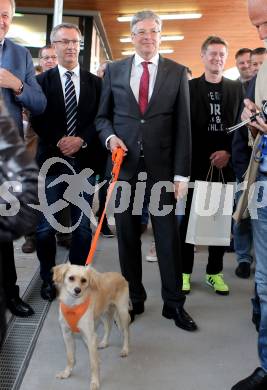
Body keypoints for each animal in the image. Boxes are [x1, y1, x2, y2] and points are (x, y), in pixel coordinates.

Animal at [52, 262, 131, 390]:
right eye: (71, 278)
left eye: (84, 280)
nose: (77, 290)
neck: (73, 306)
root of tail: (120, 275)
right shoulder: (67, 335)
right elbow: (70, 357)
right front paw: (66, 373)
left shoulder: (90, 336)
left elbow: (93, 364)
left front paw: (95, 382)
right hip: (103, 314)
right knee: (108, 326)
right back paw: (104, 343)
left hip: (122, 312)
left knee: (126, 332)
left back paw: (125, 349)